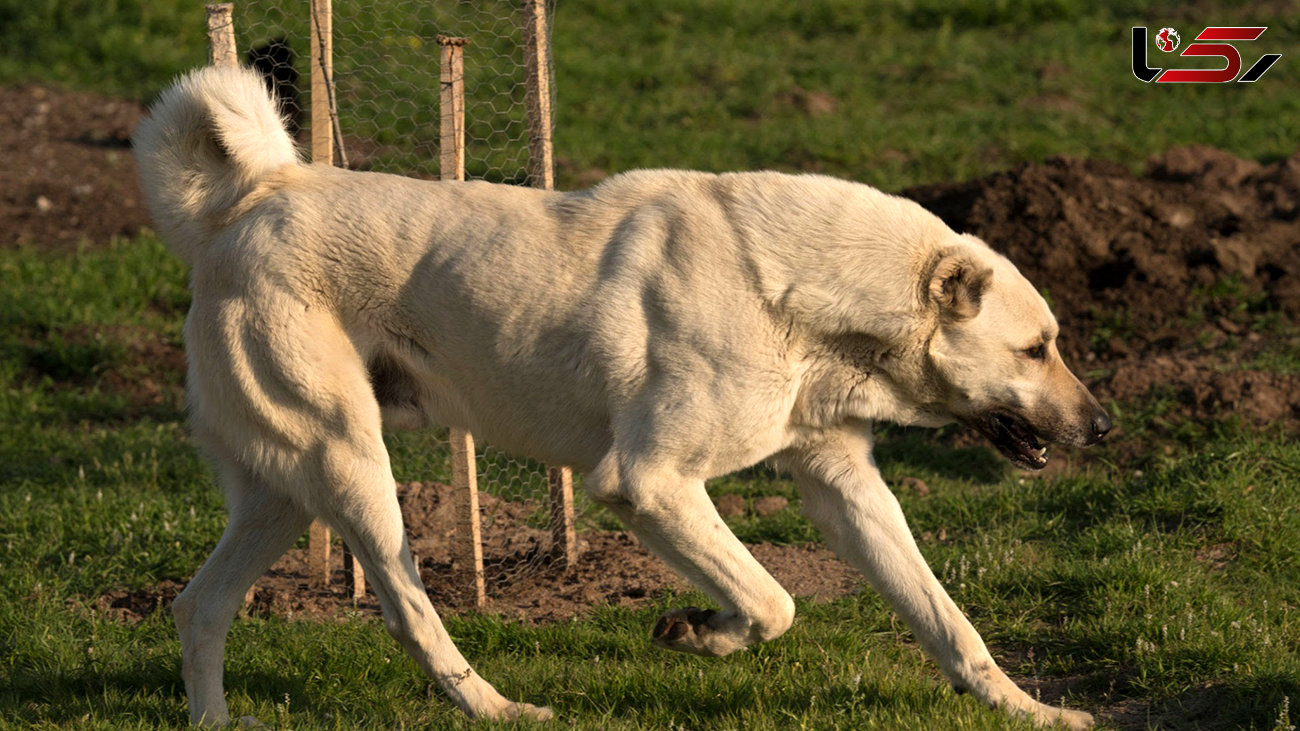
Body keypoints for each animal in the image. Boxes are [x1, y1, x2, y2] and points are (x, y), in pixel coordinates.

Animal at [131, 66, 1107, 723]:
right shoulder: (649, 483)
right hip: (349, 466)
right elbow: (773, 602)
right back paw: (500, 708)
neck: (798, 294)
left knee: (199, 607)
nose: (1103, 424)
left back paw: (217, 719)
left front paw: (1028, 709)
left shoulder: (845, 484)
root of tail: (246, 205)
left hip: (286, 489)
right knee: (407, 608)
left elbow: (946, 618)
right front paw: (700, 631)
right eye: (1037, 348)